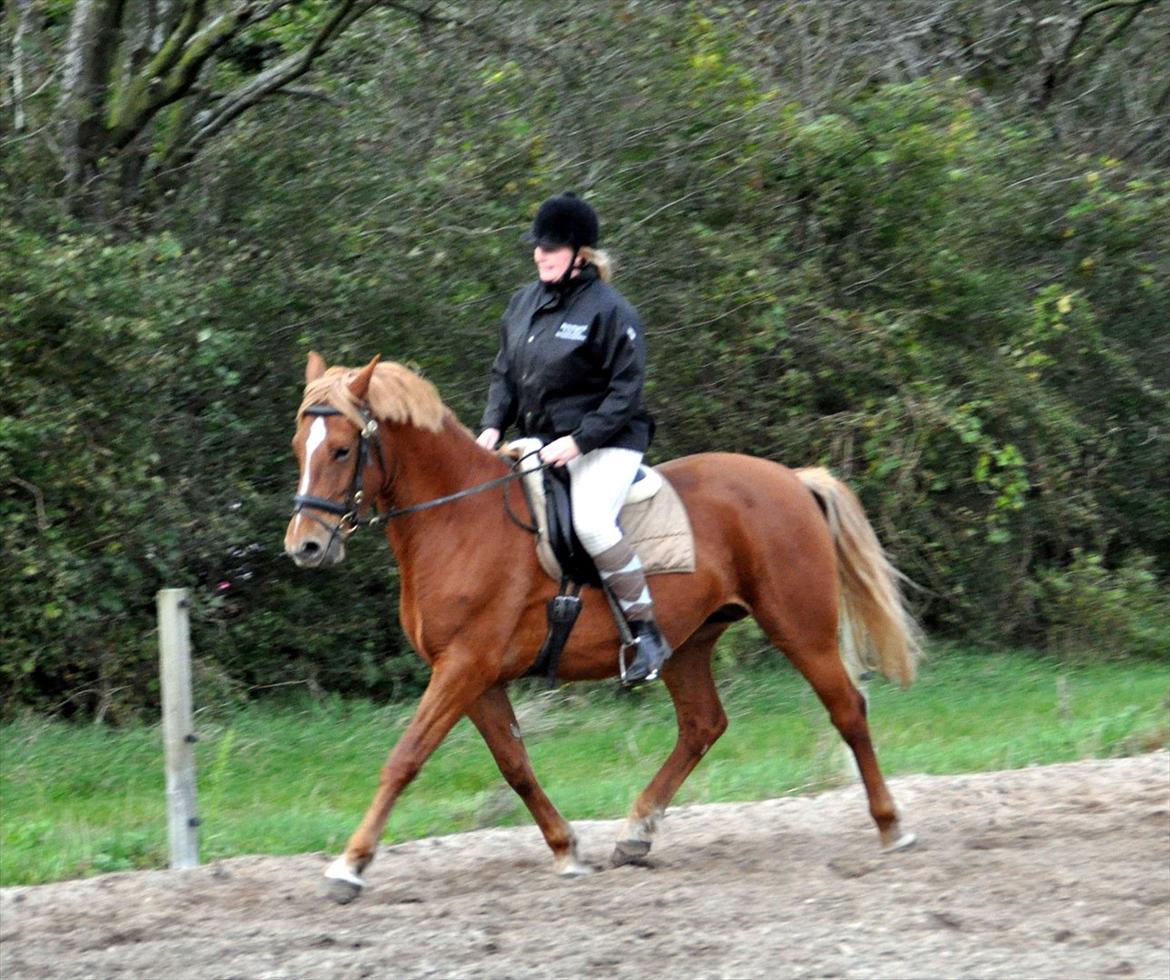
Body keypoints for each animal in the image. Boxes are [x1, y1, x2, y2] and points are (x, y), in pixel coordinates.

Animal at [283, 353, 921, 907]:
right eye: (298, 446)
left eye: (341, 449)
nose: (305, 546)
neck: (458, 518)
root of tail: (791, 479)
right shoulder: (476, 677)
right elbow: (515, 766)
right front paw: (566, 849)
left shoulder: (465, 666)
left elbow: (405, 758)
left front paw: (349, 866)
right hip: (688, 643)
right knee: (702, 725)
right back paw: (636, 833)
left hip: (799, 628)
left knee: (847, 710)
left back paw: (892, 826)